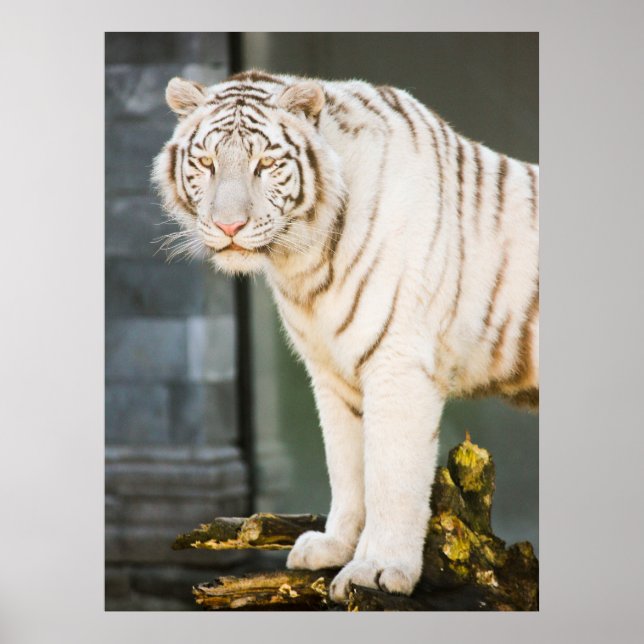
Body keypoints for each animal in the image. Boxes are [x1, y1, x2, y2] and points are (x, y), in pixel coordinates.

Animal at [152, 69, 539, 602]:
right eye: (206, 162)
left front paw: (377, 569)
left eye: (265, 163)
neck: (304, 264)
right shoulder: (331, 373)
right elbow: (346, 466)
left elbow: (390, 476)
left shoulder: (398, 365)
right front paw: (334, 547)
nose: (229, 226)